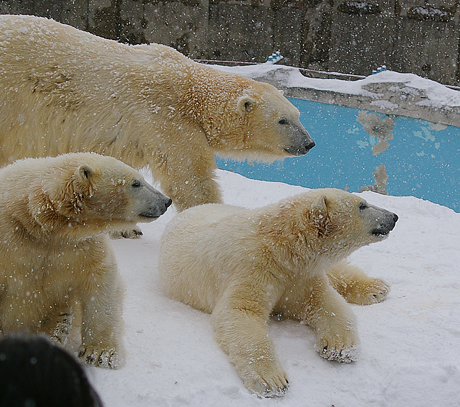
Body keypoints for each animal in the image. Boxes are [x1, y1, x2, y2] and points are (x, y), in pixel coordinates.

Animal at [0, 15, 314, 214]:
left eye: (298, 114)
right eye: (282, 120)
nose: (309, 143)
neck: (193, 90)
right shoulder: (165, 118)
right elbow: (190, 176)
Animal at [0, 153, 172, 370]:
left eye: (140, 179)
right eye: (135, 183)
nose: (166, 201)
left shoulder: (81, 246)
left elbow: (101, 282)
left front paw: (101, 354)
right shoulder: (9, 239)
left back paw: (59, 325)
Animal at [160, 190, 398, 398]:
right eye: (362, 205)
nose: (393, 217)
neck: (281, 245)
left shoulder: (301, 274)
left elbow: (324, 301)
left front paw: (339, 348)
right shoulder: (254, 267)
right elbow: (241, 311)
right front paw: (272, 381)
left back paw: (376, 287)